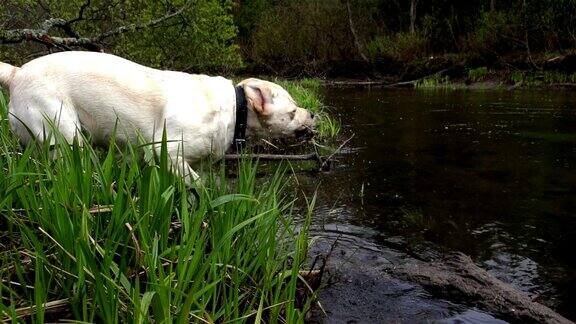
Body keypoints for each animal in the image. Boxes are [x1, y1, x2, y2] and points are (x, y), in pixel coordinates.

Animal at [0, 51, 316, 182]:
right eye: (293, 110)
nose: (312, 113)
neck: (234, 109)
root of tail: (16, 73)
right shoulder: (166, 152)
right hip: (65, 135)